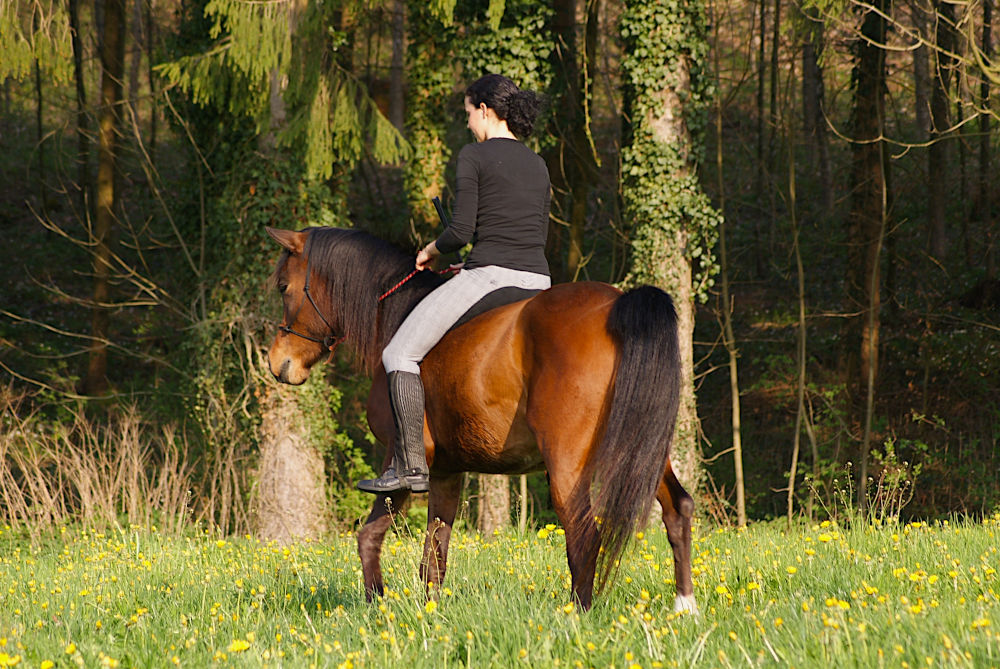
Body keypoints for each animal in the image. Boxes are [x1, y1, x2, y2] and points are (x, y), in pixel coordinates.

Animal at [270, 226, 700, 612]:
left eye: (283, 287)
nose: (278, 364)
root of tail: (617, 306)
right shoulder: (445, 472)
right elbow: (434, 557)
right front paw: (429, 616)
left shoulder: (402, 460)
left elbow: (370, 536)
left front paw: (377, 605)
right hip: (643, 450)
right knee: (678, 511)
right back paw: (685, 607)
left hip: (568, 465)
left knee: (584, 537)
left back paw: (578, 616)